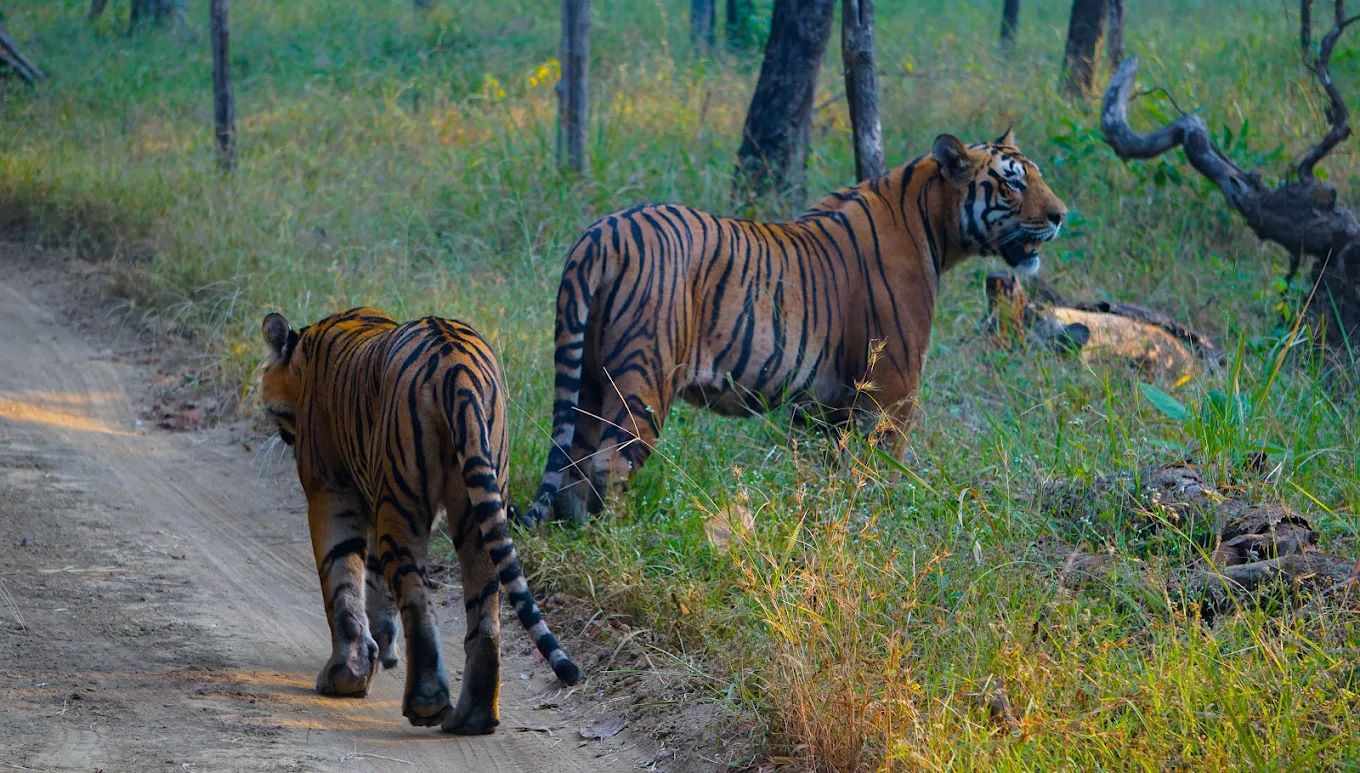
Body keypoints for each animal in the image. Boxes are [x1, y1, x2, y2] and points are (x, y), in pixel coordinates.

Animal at [259, 307, 580, 735]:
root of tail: (457, 368)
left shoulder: (331, 491)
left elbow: (342, 581)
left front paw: (346, 675)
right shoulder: (372, 499)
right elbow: (372, 583)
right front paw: (379, 651)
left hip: (404, 501)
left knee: (416, 599)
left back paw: (426, 703)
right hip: (478, 502)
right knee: (485, 609)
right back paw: (473, 718)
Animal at [521, 131, 1068, 525]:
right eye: (1013, 183)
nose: (1061, 215)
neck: (936, 224)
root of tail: (602, 232)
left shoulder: (823, 406)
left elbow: (822, 473)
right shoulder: (893, 392)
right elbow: (883, 472)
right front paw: (883, 524)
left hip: (589, 376)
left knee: (574, 460)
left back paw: (577, 530)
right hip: (643, 376)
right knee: (608, 462)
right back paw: (618, 533)